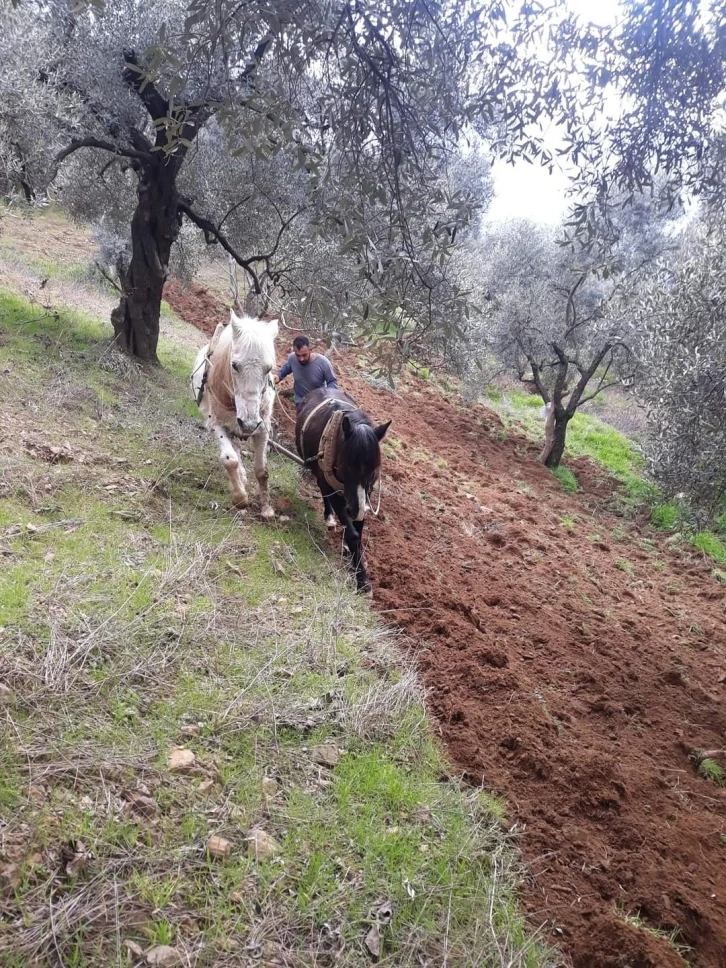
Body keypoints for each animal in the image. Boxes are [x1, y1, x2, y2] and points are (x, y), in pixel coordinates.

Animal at [192, 310, 280, 520]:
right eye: (235, 365)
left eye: (269, 368)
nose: (248, 424)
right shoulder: (217, 425)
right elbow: (229, 459)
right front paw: (240, 498)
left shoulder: (262, 429)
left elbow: (262, 470)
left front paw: (266, 508)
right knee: (235, 453)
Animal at [298, 386, 392, 588]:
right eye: (346, 465)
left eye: (374, 471)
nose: (354, 508)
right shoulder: (334, 487)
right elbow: (353, 534)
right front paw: (362, 580)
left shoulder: (365, 494)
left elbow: (359, 529)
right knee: (323, 492)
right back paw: (329, 517)